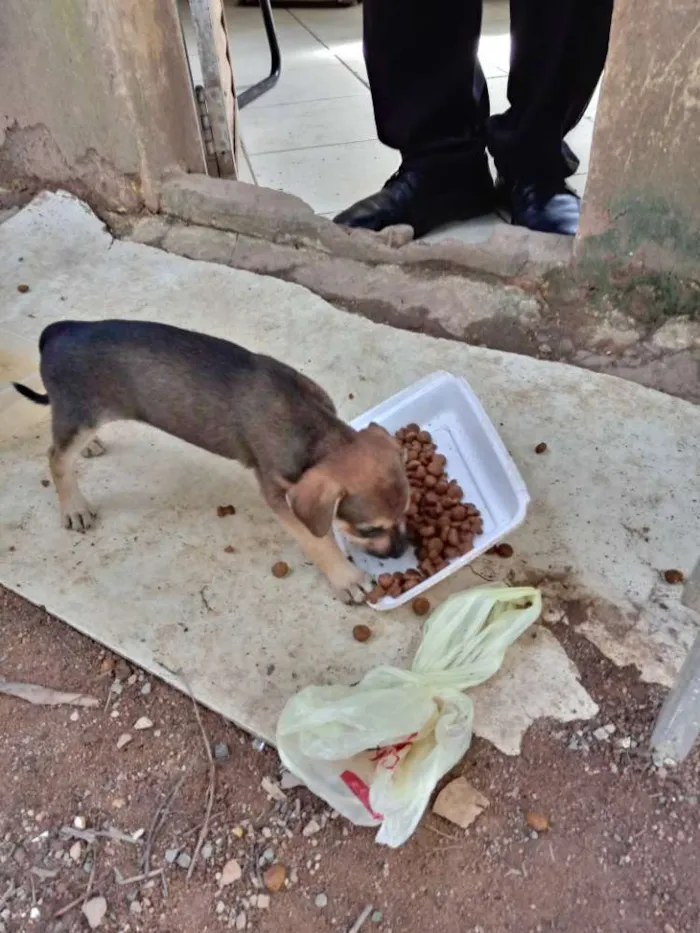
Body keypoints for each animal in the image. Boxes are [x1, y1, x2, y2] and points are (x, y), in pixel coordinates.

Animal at [13, 316, 410, 600]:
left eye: (406, 512)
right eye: (368, 529)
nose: (402, 551)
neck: (315, 430)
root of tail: (59, 330)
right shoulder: (275, 491)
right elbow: (316, 540)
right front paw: (347, 578)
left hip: (82, 416)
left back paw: (92, 446)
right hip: (79, 415)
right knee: (56, 458)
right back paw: (74, 507)